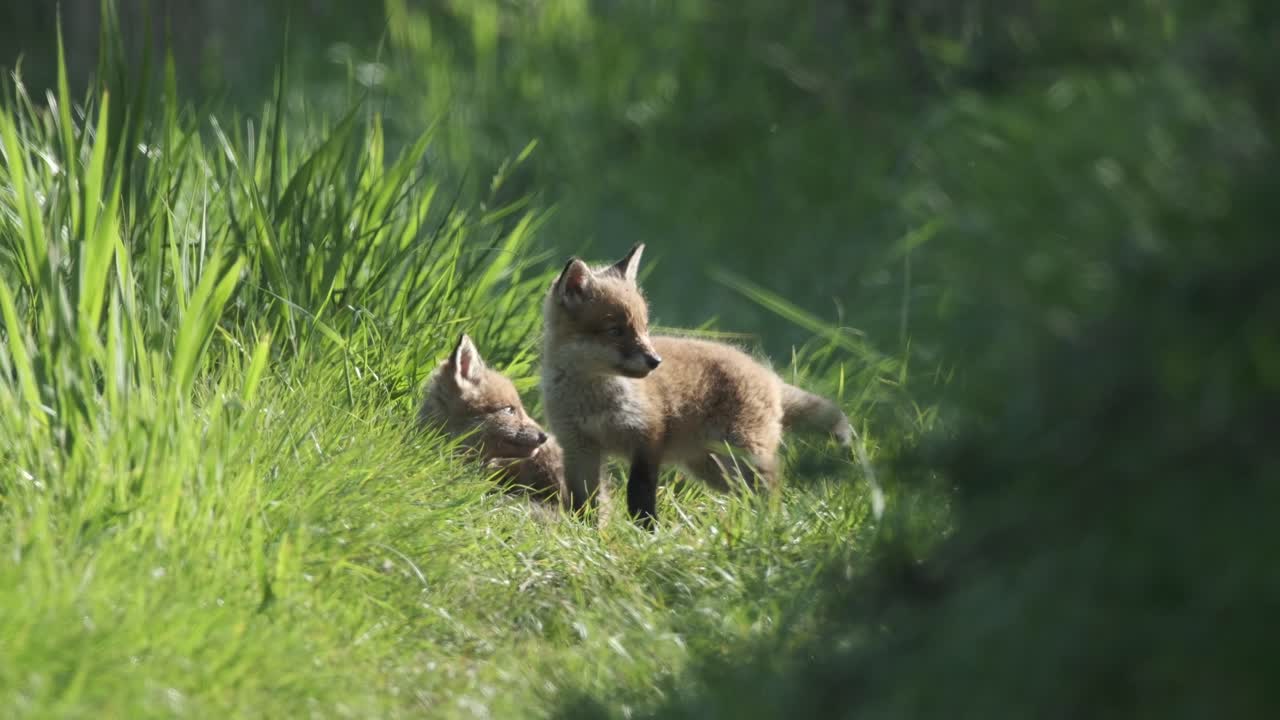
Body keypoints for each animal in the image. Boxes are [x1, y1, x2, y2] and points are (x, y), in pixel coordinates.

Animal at [540, 243, 853, 528]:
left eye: (643, 327)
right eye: (615, 331)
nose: (655, 361)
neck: (593, 399)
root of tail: (769, 376)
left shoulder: (648, 438)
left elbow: (639, 494)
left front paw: (646, 532)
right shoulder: (578, 447)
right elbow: (584, 502)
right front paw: (587, 533)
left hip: (743, 454)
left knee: (772, 485)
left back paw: (767, 525)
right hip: (712, 468)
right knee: (747, 494)